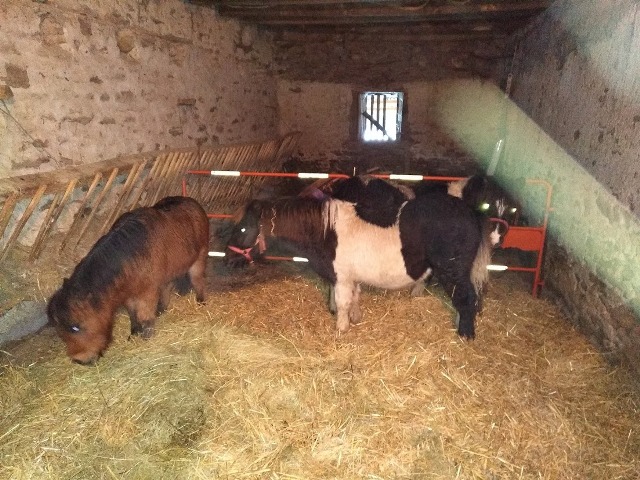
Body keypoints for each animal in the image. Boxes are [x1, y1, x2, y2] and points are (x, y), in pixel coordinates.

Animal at [48, 195, 208, 364]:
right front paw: (134, 334)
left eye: (75, 327)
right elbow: (133, 315)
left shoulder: (147, 293)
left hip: (199, 258)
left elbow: (145, 316)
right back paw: (161, 309)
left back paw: (201, 302)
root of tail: (190, 200)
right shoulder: (127, 294)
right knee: (167, 286)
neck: (129, 258)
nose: (79, 360)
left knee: (198, 280)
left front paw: (147, 338)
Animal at [228, 186, 492, 340]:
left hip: (453, 270)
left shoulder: (342, 277)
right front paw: (354, 318)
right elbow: (354, 297)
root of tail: (468, 211)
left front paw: (341, 328)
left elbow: (343, 302)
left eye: (242, 228)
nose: (229, 259)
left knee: (466, 297)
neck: (326, 231)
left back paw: (465, 334)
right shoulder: (350, 278)